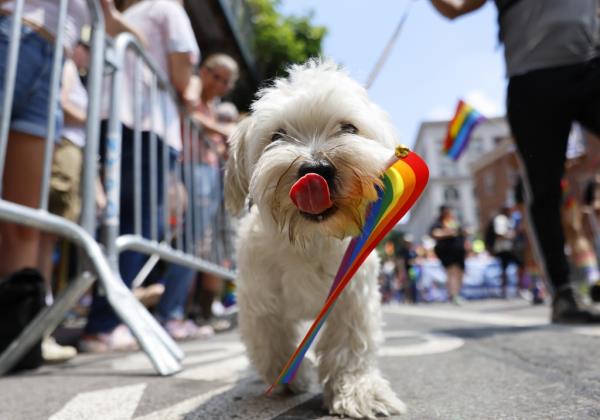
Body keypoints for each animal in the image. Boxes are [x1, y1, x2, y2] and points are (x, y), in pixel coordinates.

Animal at [225, 59, 408, 416]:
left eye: (348, 128)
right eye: (277, 136)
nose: (317, 168)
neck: (309, 241)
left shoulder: (351, 295)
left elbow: (350, 344)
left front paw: (358, 391)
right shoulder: (260, 299)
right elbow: (272, 341)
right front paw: (289, 379)